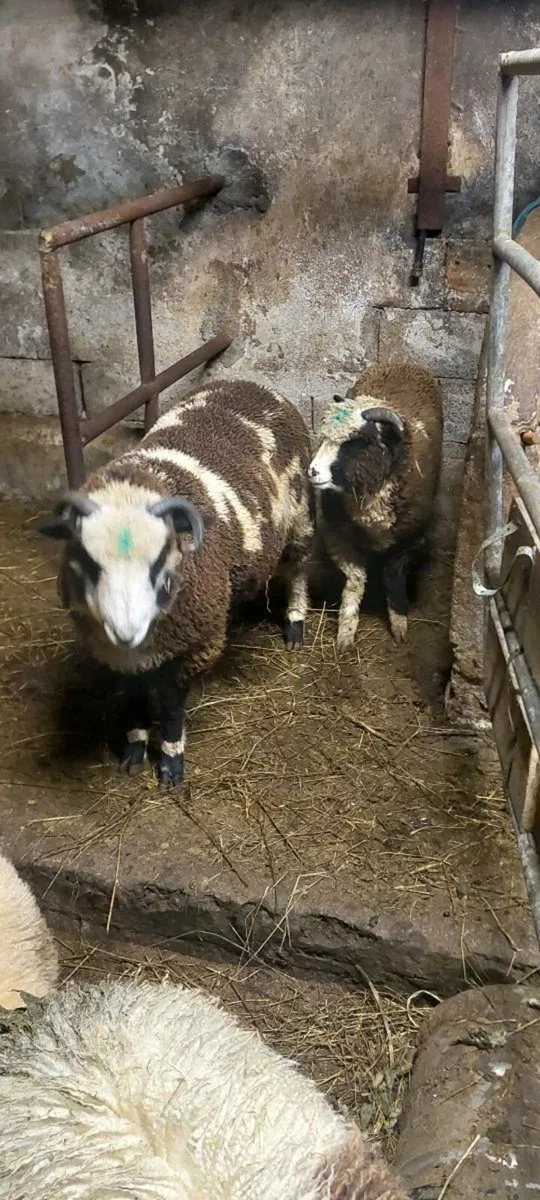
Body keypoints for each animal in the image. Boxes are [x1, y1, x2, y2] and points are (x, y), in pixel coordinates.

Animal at [40, 380, 313, 788]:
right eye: (86, 560)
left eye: (161, 558)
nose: (126, 631)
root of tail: (248, 383)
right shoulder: (119, 656)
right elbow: (134, 698)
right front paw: (134, 748)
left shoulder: (190, 646)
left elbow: (170, 704)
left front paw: (170, 762)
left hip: (299, 516)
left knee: (297, 570)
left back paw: (295, 624)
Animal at [308, 362, 443, 651]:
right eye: (324, 438)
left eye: (357, 442)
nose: (313, 471)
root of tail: (400, 361)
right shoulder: (338, 537)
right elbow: (355, 582)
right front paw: (346, 633)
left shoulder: (411, 540)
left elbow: (393, 578)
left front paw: (399, 625)